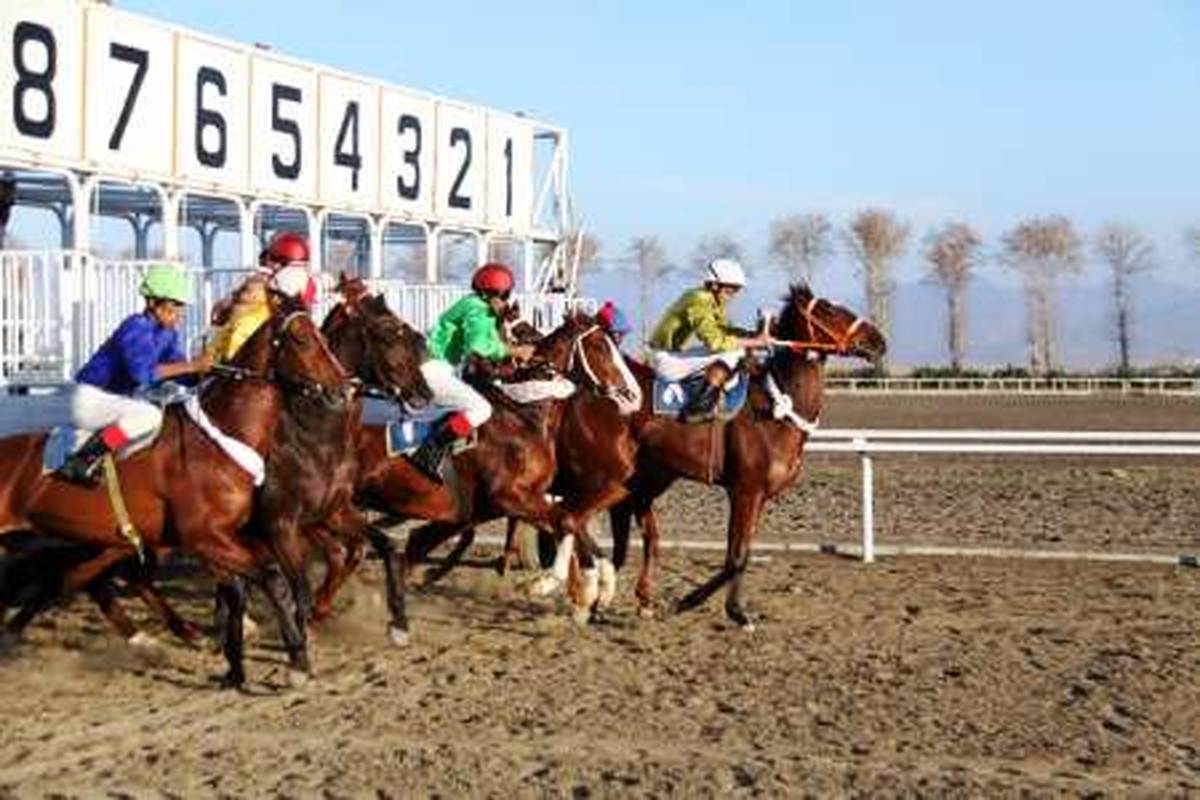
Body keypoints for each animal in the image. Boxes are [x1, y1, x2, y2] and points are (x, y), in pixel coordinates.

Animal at [0, 296, 350, 687]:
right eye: (302, 339)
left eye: (323, 336)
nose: (342, 389)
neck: (223, 436)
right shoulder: (212, 535)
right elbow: (276, 582)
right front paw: (297, 661)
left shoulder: (226, 537)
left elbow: (238, 592)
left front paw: (235, 667)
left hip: (93, 541)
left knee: (77, 580)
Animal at [608, 283, 886, 627]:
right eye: (829, 310)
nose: (878, 340)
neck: (776, 410)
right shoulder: (744, 490)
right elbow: (736, 557)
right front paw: (704, 605)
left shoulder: (760, 495)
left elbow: (741, 553)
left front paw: (730, 607)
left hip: (651, 475)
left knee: (637, 525)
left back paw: (638, 595)